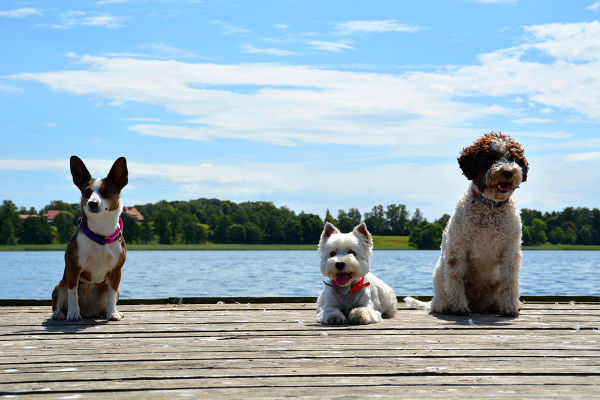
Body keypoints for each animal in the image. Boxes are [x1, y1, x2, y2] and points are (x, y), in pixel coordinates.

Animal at [51, 156, 127, 322]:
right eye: (86, 192)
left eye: (106, 191)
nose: (92, 203)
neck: (101, 232)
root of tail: (88, 311)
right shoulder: (73, 269)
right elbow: (73, 293)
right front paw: (73, 314)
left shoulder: (116, 271)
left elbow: (112, 294)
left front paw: (113, 313)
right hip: (59, 286)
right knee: (59, 302)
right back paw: (59, 313)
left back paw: (108, 311)